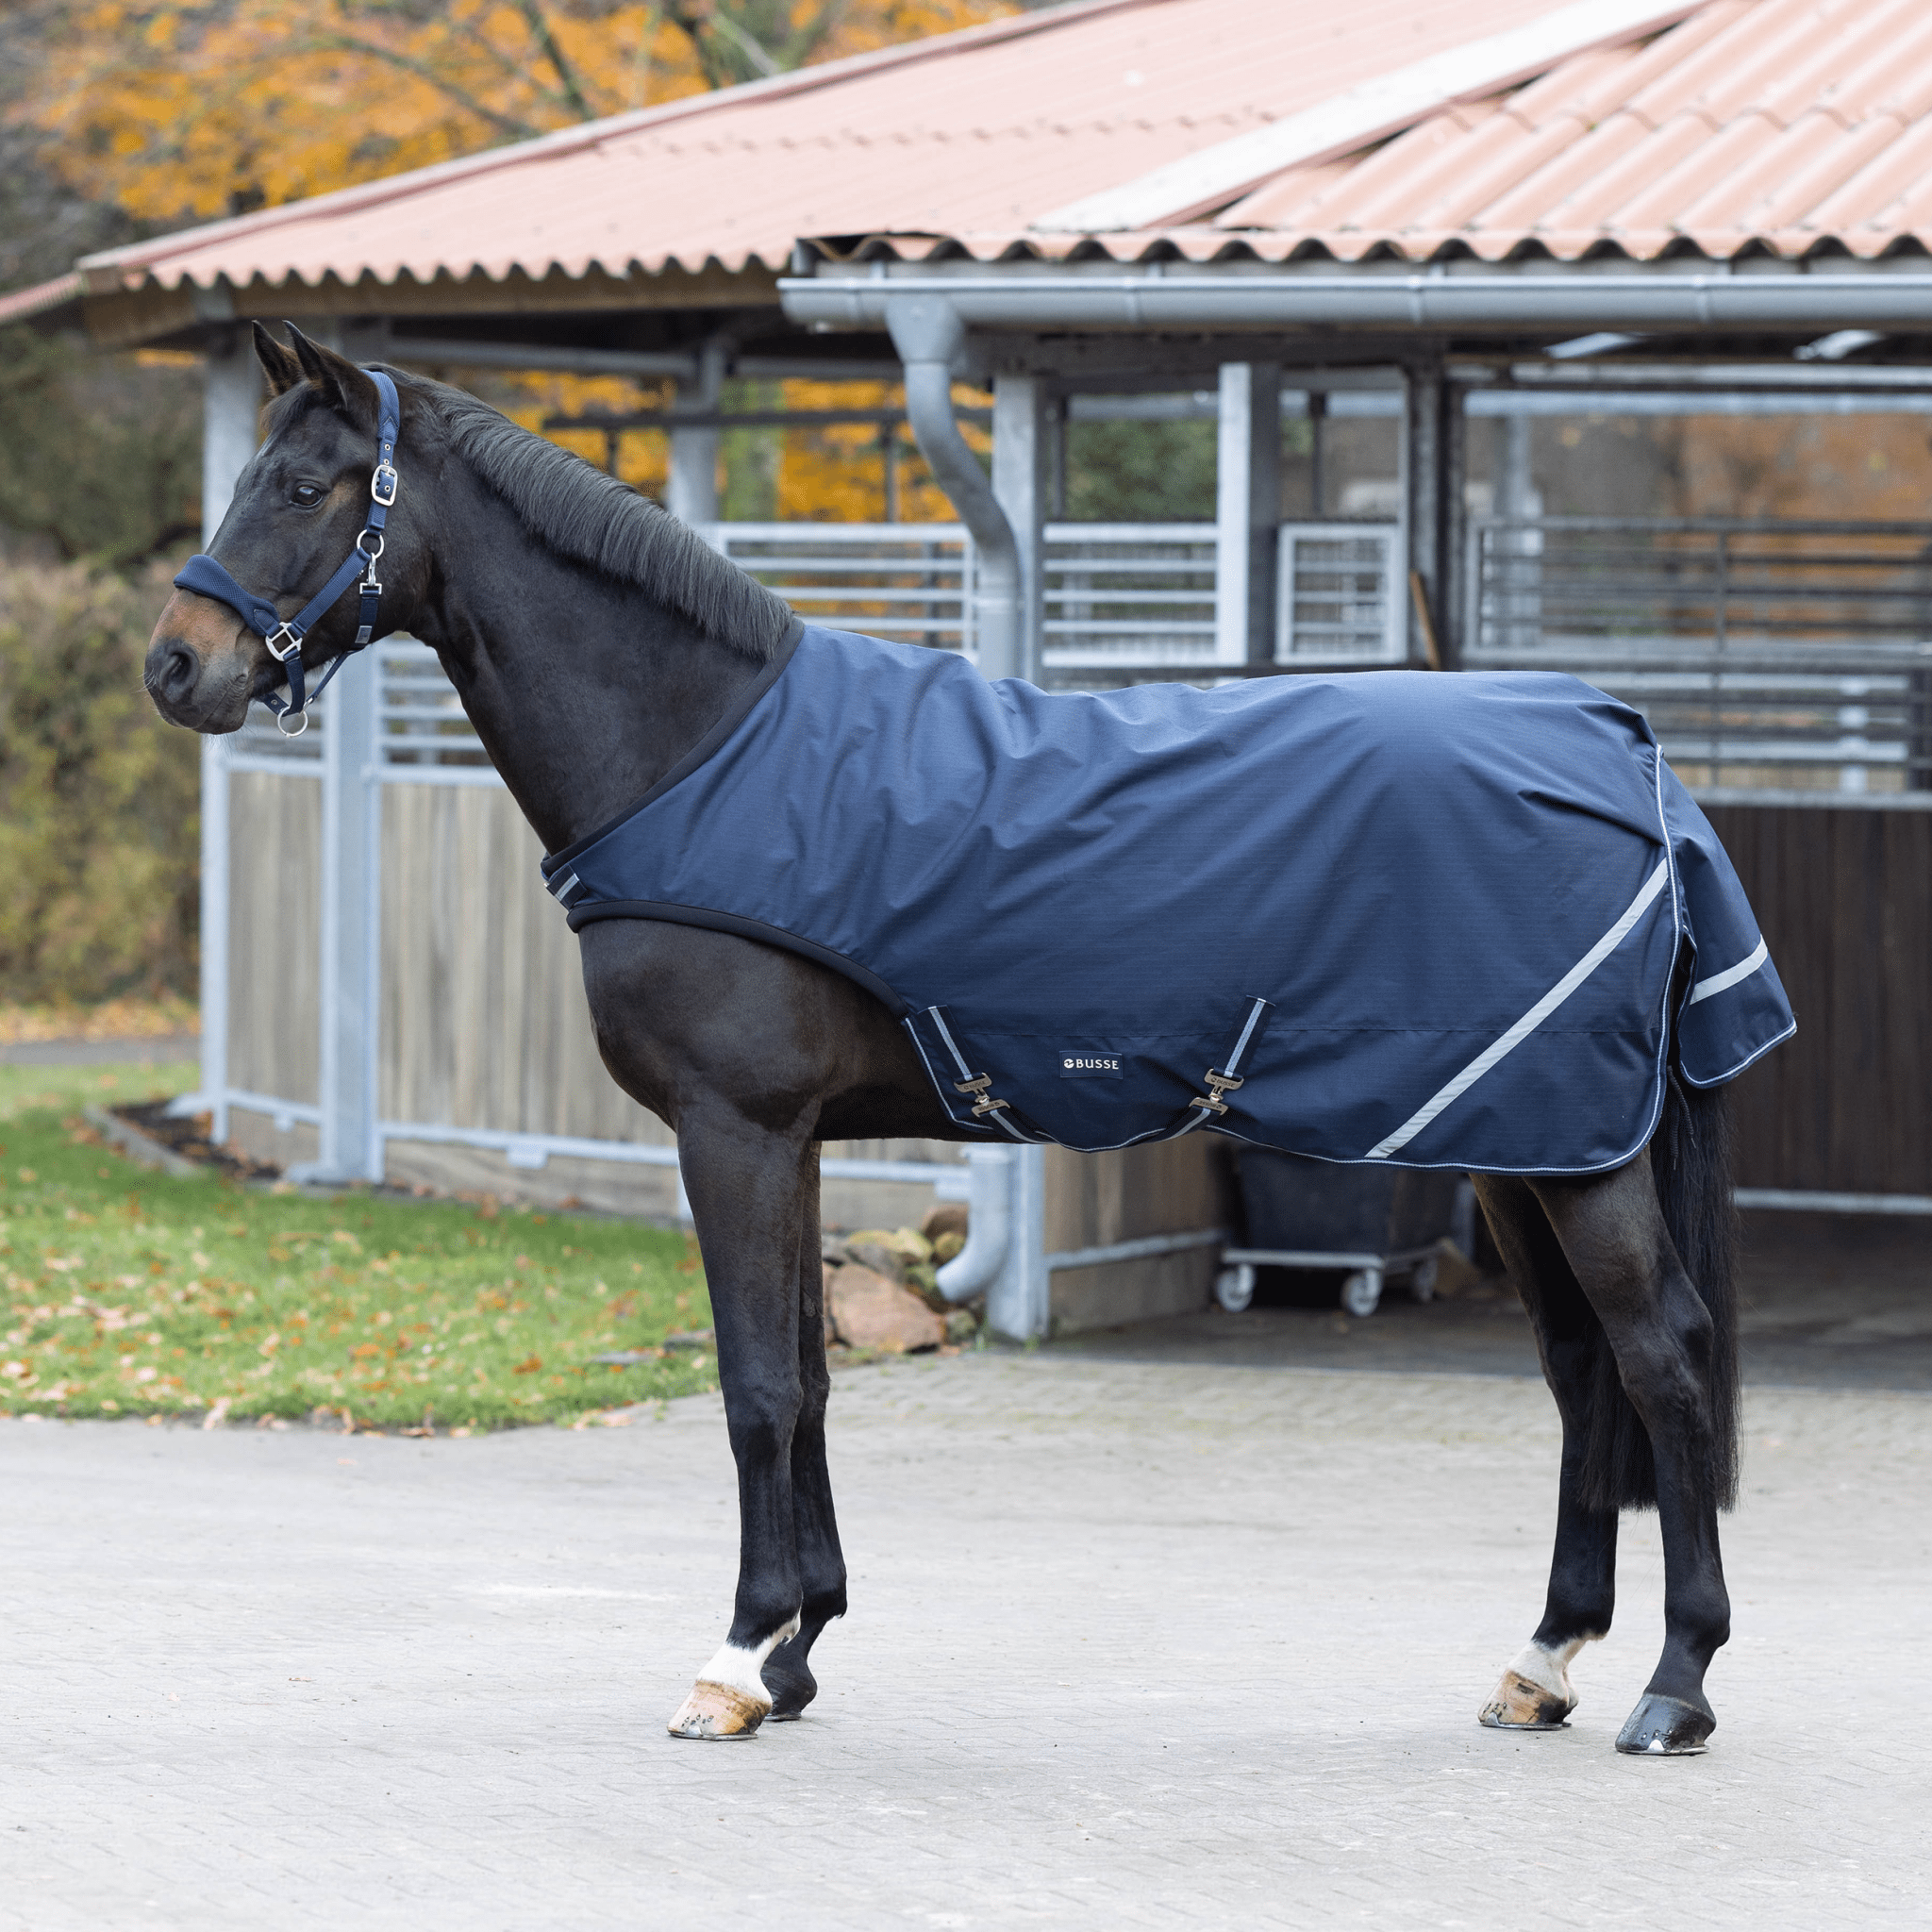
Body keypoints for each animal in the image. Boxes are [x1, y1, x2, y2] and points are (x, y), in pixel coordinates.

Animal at [145, 322, 1760, 1758]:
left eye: (306, 487)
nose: (177, 666)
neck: (701, 751)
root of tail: (1626, 752)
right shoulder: (788, 1137)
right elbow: (806, 1379)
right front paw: (798, 1651)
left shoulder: (732, 1130)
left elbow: (756, 1390)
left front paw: (731, 1663)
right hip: (1517, 1144)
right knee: (1580, 1371)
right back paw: (1542, 1662)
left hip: (1572, 1156)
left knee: (1662, 1358)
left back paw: (1676, 1684)